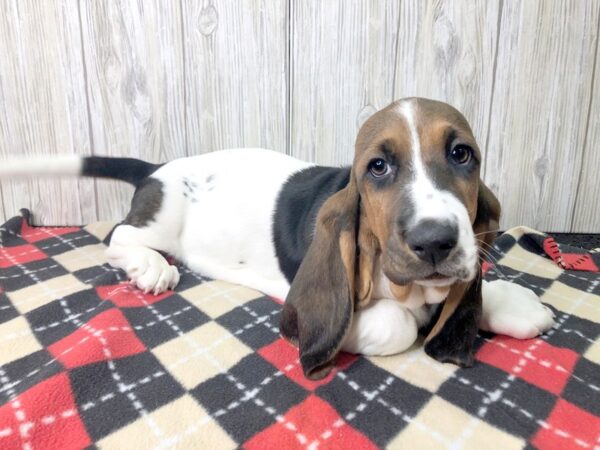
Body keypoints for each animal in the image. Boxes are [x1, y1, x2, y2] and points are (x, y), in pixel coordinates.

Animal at [0, 98, 552, 380]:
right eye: (378, 166)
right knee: (119, 235)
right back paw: (150, 266)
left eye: (463, 155)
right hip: (162, 217)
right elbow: (395, 323)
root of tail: (159, 167)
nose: (435, 240)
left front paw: (513, 303)